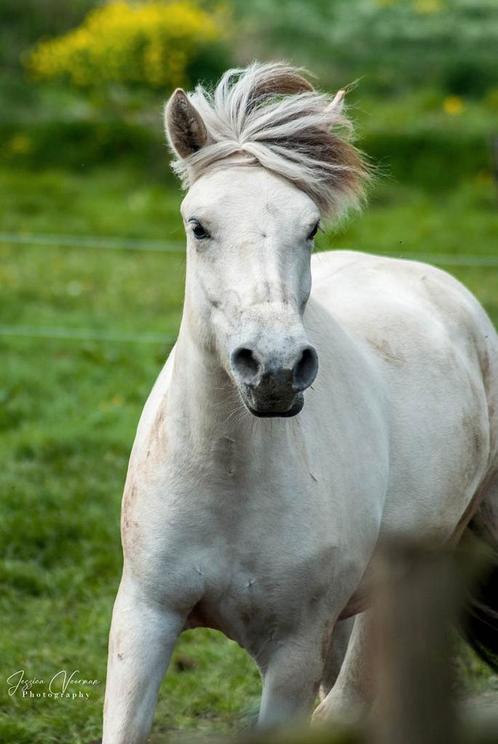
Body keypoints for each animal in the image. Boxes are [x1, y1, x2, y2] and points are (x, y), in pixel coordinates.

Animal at [101, 65, 498, 744]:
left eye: (309, 227)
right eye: (198, 226)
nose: (276, 369)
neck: (228, 477)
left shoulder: (291, 653)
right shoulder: (144, 618)